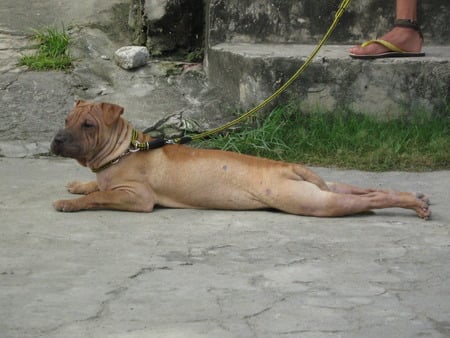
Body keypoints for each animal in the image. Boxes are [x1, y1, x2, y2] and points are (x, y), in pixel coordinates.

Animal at [51, 99, 430, 219]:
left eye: (88, 125)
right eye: (66, 119)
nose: (56, 139)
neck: (121, 151)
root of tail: (289, 165)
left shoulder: (138, 198)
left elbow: (101, 195)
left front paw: (69, 202)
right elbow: (96, 186)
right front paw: (77, 184)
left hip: (308, 201)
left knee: (371, 198)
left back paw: (413, 204)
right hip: (325, 187)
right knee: (364, 191)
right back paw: (414, 197)